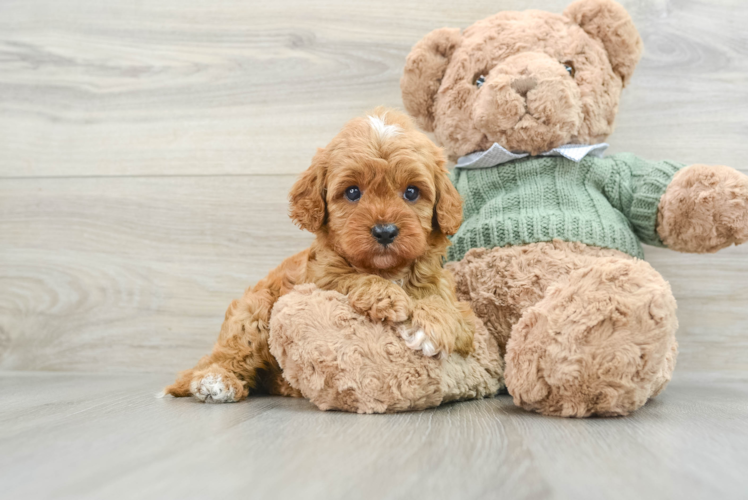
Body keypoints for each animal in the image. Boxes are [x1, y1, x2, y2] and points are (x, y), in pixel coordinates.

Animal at [165, 108, 480, 402]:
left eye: (412, 192)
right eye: (352, 192)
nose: (385, 231)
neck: (387, 270)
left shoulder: (458, 307)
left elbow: (447, 308)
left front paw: (428, 326)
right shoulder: (318, 282)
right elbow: (349, 278)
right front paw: (386, 296)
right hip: (252, 313)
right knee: (228, 356)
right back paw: (215, 381)